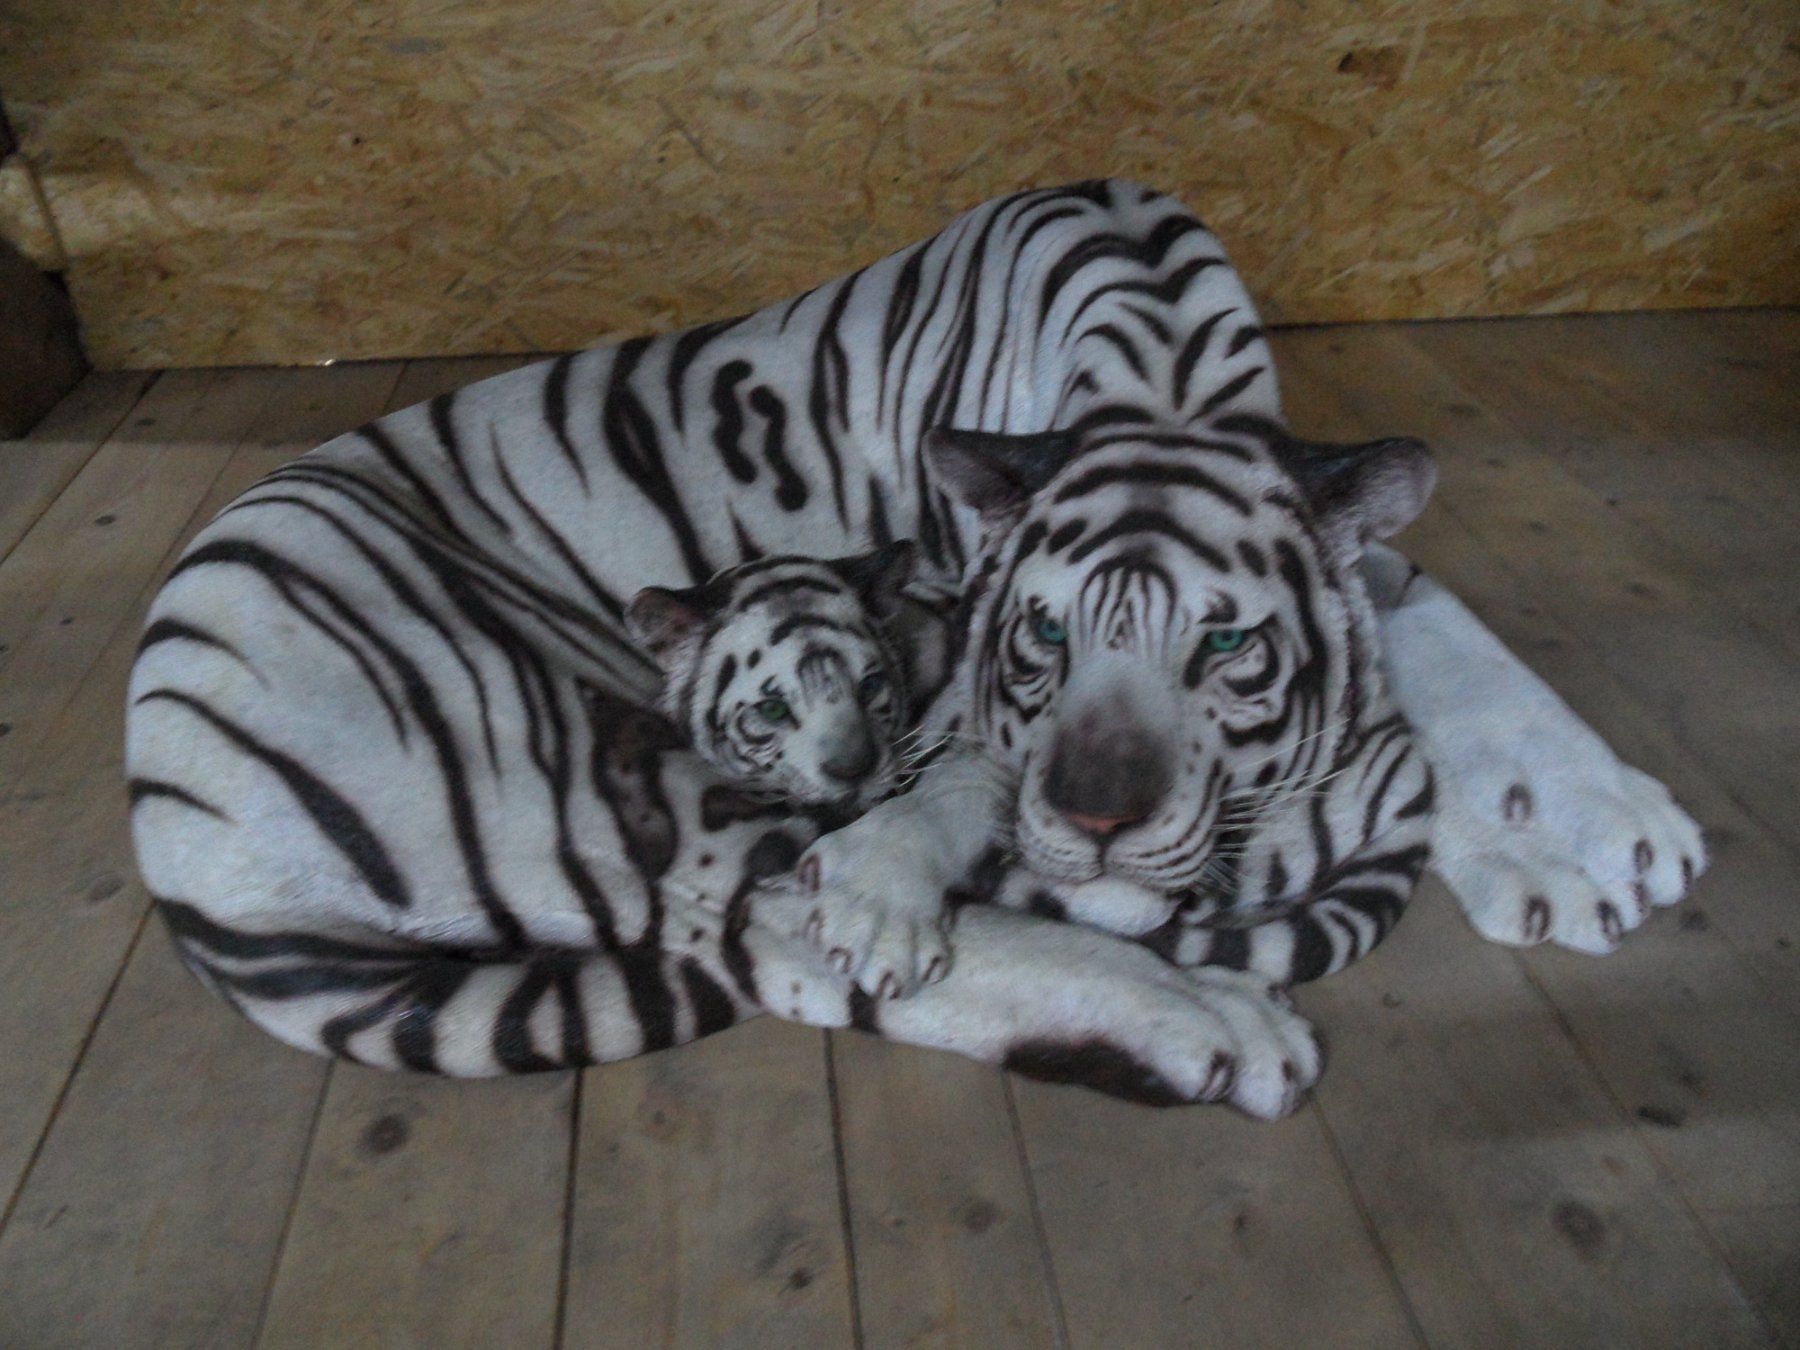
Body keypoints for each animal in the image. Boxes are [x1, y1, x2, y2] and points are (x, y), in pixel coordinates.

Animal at [127, 179, 1703, 1117]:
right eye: (1047, 640)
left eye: (1233, 656)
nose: (1110, 833)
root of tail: (165, 800)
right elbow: (943, 790)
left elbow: (1450, 633)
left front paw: (1584, 829)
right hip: (567, 749)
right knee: (777, 912)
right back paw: (1210, 1019)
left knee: (798, 954)